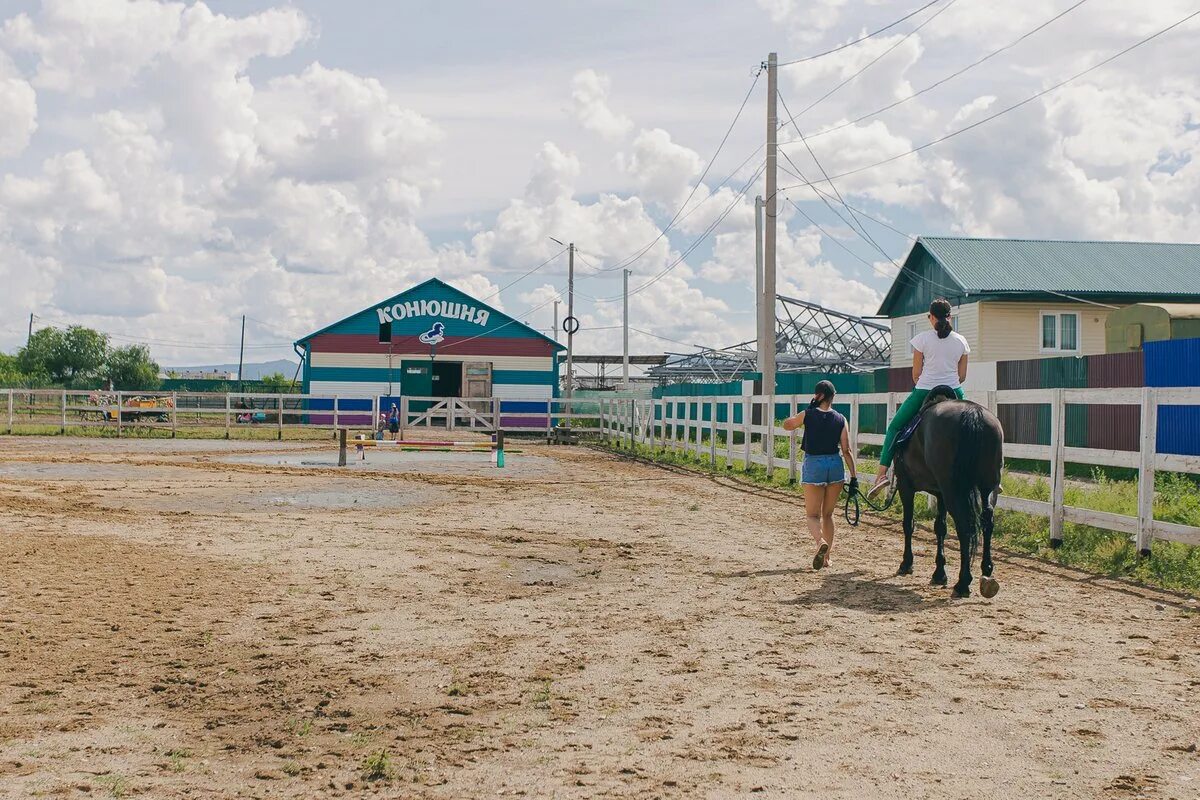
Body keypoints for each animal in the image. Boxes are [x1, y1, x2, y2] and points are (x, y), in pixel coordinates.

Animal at [892, 383, 1003, 597]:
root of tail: (973, 413)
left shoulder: (905, 486)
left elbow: (908, 524)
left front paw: (907, 563)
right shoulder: (941, 493)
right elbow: (940, 527)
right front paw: (939, 572)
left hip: (953, 490)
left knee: (964, 526)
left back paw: (963, 582)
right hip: (987, 486)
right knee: (987, 519)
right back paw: (987, 572)